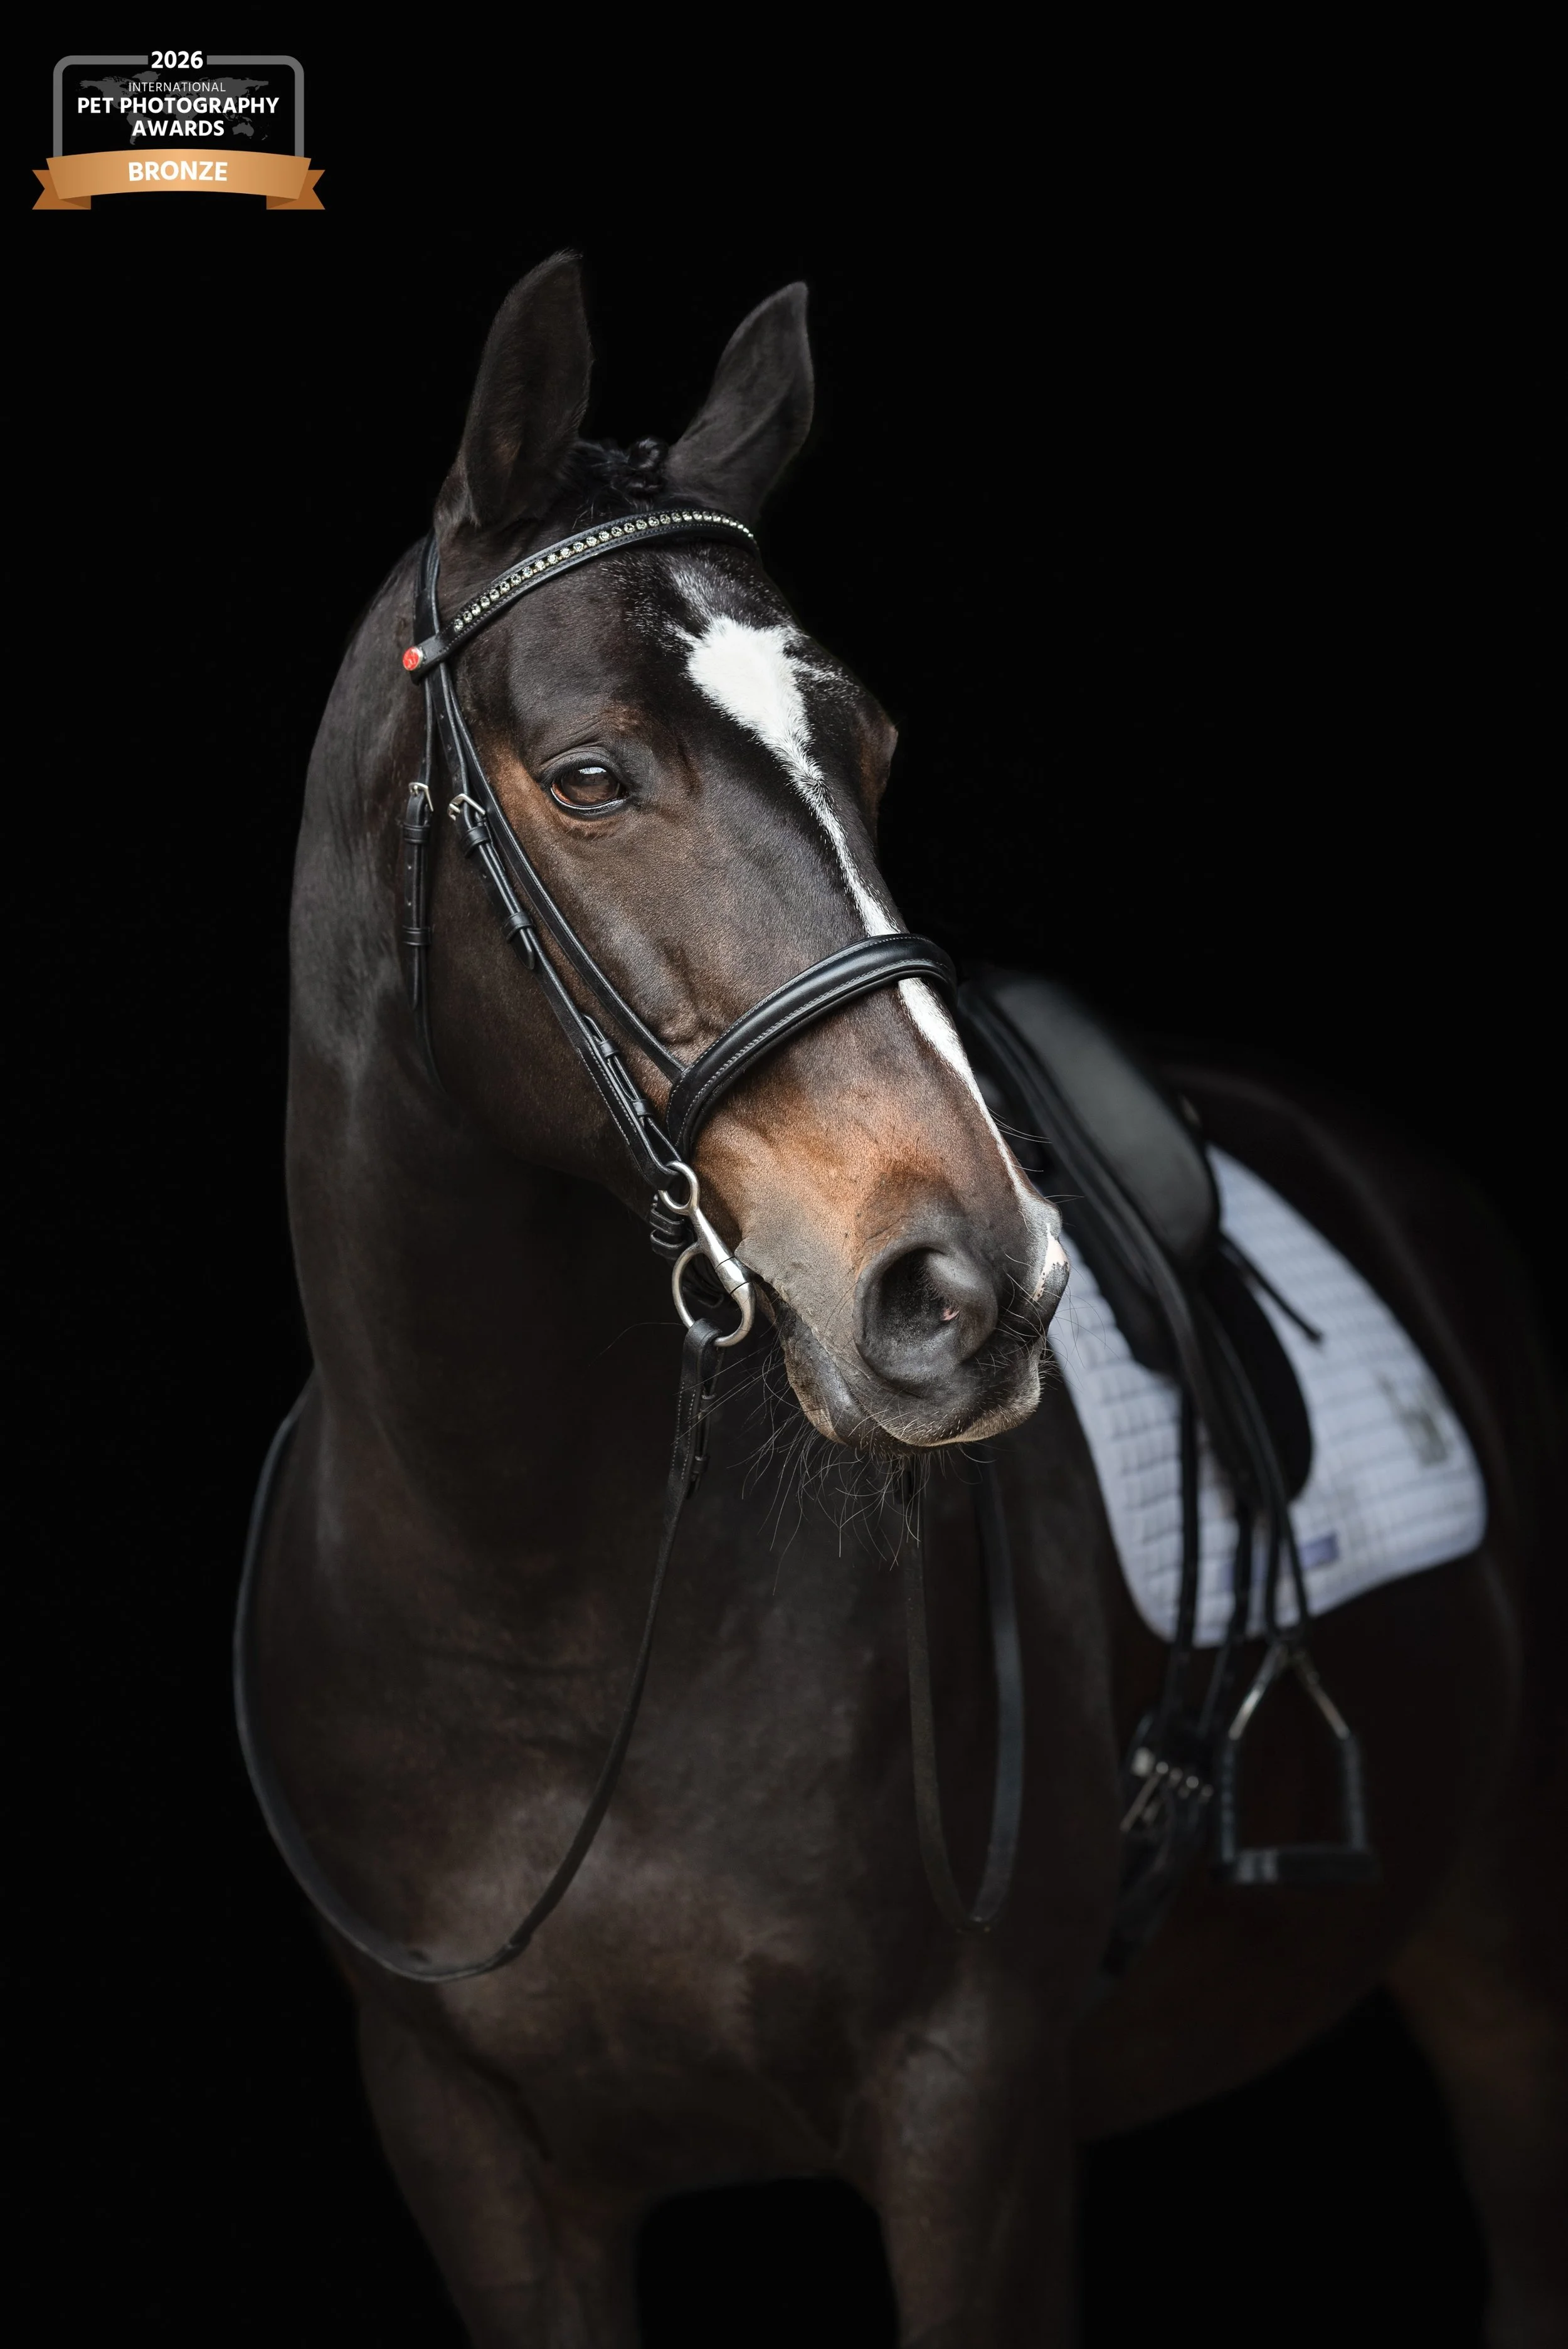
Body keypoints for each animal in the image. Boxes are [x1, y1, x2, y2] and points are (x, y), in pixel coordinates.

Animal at [250, 252, 1565, 2345]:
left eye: (864, 755)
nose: (972, 1285)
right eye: (588, 776)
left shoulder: (971, 2129)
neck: (530, 1613)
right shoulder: (477, 2162)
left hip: (1504, 1935)